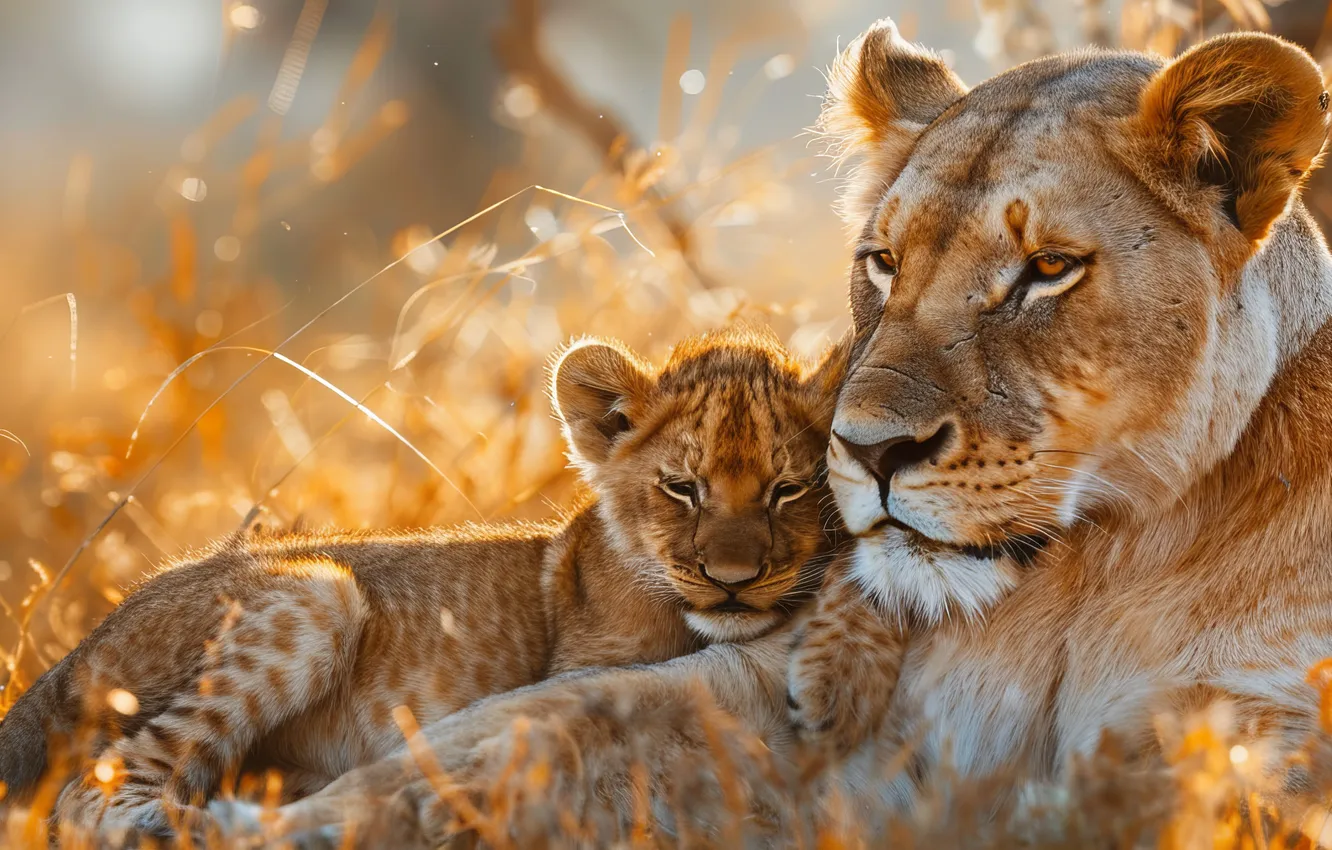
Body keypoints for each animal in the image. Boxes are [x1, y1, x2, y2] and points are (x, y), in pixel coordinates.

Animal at [0, 326, 845, 840]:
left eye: (789, 489)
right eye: (681, 489)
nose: (733, 579)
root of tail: (79, 648)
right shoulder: (586, 675)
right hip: (320, 592)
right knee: (93, 790)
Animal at [215, 21, 1332, 846]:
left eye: (1048, 270)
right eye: (883, 262)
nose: (869, 450)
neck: (1097, 562)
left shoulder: (1262, 733)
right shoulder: (813, 696)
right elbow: (525, 731)